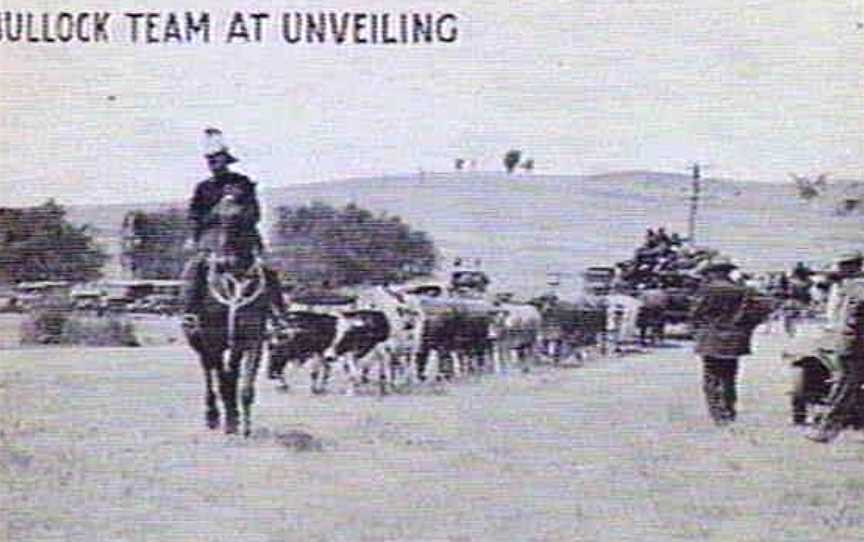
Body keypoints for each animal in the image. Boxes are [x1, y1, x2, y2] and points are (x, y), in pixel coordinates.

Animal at [184, 198, 278, 440]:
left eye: (244, 219)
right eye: (216, 219)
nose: (226, 262)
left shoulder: (253, 340)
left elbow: (243, 384)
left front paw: (243, 424)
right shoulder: (212, 341)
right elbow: (221, 380)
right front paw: (228, 422)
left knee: (230, 374)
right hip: (198, 342)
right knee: (209, 373)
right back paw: (213, 416)